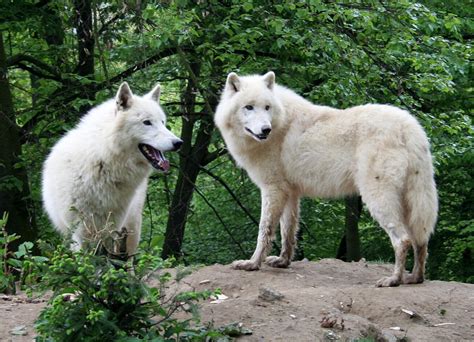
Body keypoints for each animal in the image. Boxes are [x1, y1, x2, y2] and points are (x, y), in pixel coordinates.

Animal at [41, 82, 182, 254]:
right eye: (147, 122)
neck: (102, 160)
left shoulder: (113, 226)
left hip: (132, 227)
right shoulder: (80, 230)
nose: (178, 143)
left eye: (162, 122)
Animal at [214, 71, 436, 286]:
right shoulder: (290, 193)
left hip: (378, 199)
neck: (280, 124)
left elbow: (265, 230)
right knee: (421, 239)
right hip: (412, 204)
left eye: (267, 107)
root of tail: (411, 128)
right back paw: (415, 278)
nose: (265, 129)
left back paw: (394, 280)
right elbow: (288, 232)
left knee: (403, 240)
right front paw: (283, 261)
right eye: (249, 107)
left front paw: (252, 263)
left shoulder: (272, 189)